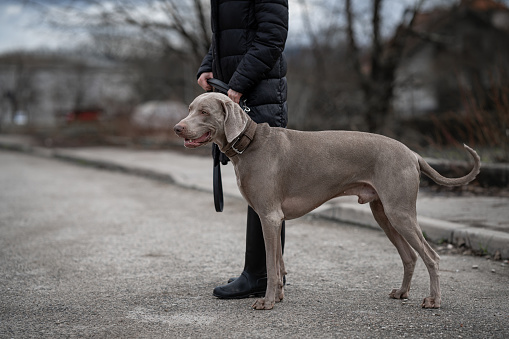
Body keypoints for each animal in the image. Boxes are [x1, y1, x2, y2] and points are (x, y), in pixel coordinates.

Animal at [174, 92, 480, 310]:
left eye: (204, 112)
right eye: (190, 108)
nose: (177, 128)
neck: (250, 143)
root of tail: (412, 153)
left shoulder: (269, 216)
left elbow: (272, 265)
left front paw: (268, 302)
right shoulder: (274, 218)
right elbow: (279, 261)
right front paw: (279, 297)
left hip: (400, 211)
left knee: (431, 256)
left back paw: (433, 301)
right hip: (383, 212)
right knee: (410, 256)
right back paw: (402, 292)